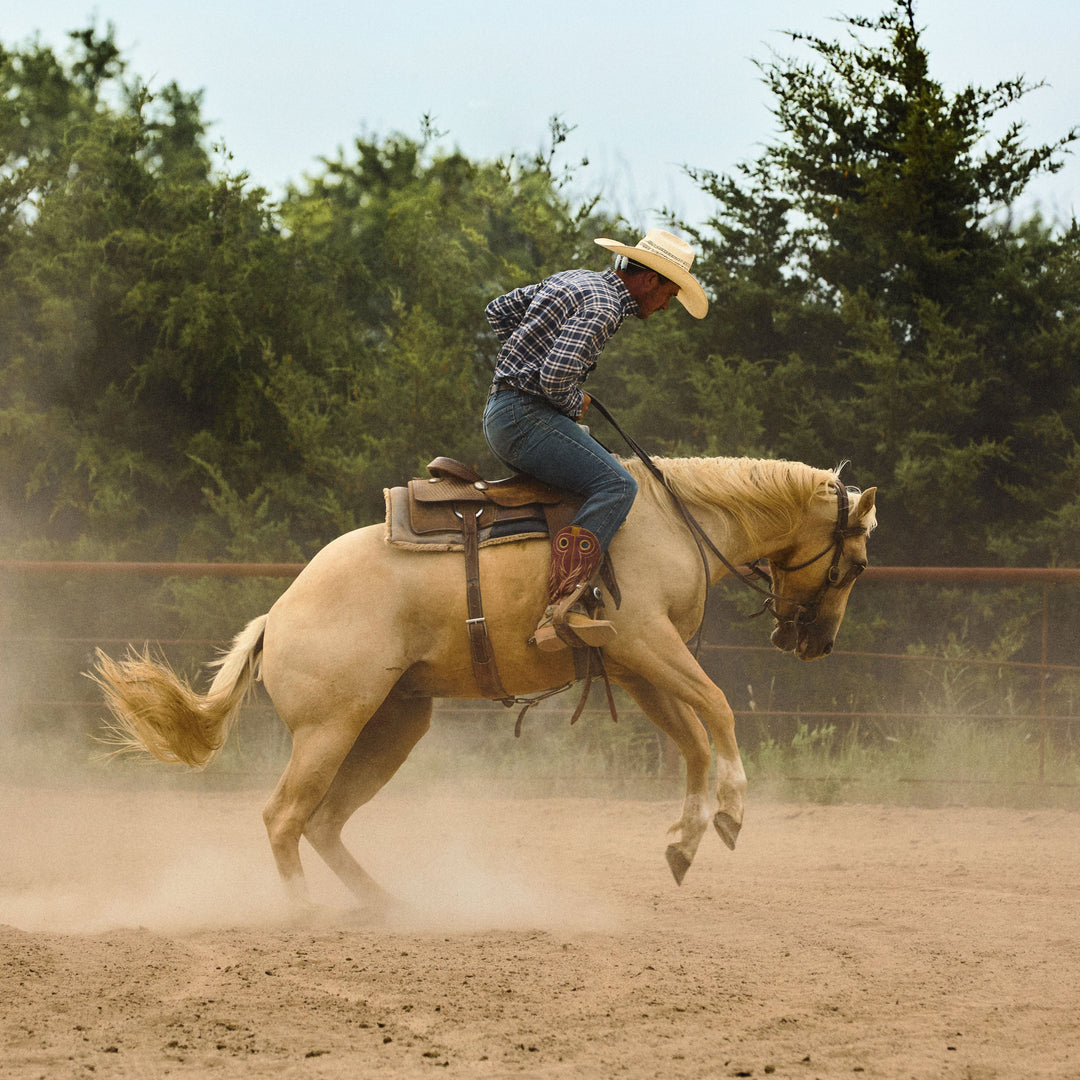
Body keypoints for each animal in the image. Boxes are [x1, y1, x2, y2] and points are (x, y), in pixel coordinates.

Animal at [91, 455, 876, 911]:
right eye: (860, 563)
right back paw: (308, 917)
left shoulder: (635, 665)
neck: (675, 520)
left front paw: (684, 844)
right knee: (284, 818)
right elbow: (717, 709)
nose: (815, 643)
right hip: (328, 730)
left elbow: (690, 740)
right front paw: (733, 812)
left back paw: (390, 909)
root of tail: (277, 616)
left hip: (393, 725)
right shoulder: (645, 641)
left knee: (324, 822)